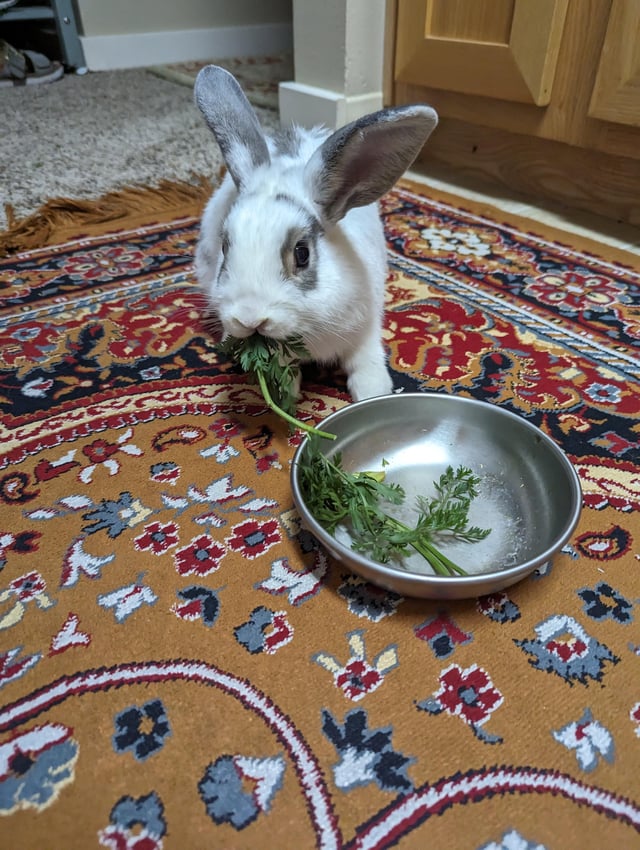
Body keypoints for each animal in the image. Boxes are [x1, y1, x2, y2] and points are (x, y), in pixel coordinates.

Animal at [194, 65, 438, 401]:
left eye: (302, 253)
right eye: (225, 246)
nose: (250, 318)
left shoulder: (366, 325)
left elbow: (366, 360)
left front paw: (373, 392)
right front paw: (283, 393)